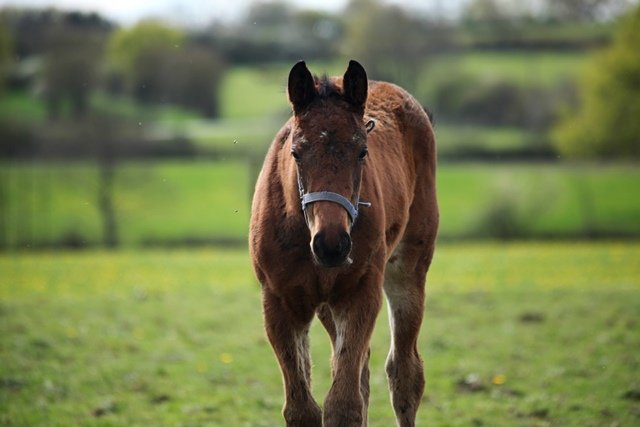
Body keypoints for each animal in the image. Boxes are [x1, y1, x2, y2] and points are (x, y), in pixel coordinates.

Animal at [249, 60, 438, 427]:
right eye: (296, 152)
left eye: (362, 151)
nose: (332, 244)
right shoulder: (279, 301)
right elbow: (302, 409)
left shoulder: (359, 293)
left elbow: (343, 404)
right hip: (326, 303)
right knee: (363, 372)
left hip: (408, 267)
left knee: (404, 373)